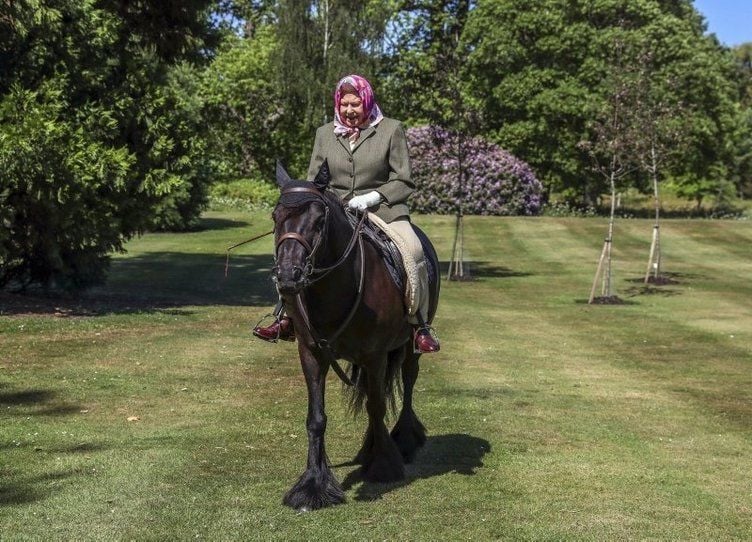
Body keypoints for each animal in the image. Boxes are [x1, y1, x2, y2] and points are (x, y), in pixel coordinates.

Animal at [274, 160, 440, 510]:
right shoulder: (311, 353)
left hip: (410, 346)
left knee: (407, 382)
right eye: (275, 216)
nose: (288, 276)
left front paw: (383, 466)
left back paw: (404, 441)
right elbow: (316, 418)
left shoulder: (375, 354)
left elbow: (377, 407)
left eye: (319, 220)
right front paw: (313, 485)